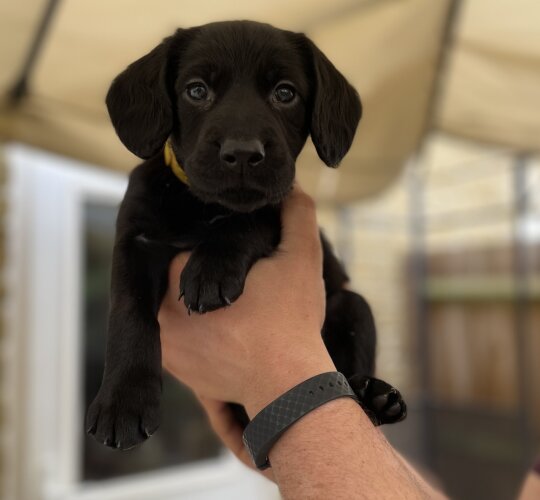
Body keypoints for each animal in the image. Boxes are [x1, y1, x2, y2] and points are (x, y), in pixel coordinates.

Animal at [87, 19, 404, 452]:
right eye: (196, 90)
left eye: (285, 93)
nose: (241, 153)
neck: (202, 207)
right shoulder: (135, 241)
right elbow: (128, 314)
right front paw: (123, 401)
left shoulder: (277, 203)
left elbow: (248, 219)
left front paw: (210, 270)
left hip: (352, 304)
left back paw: (375, 396)